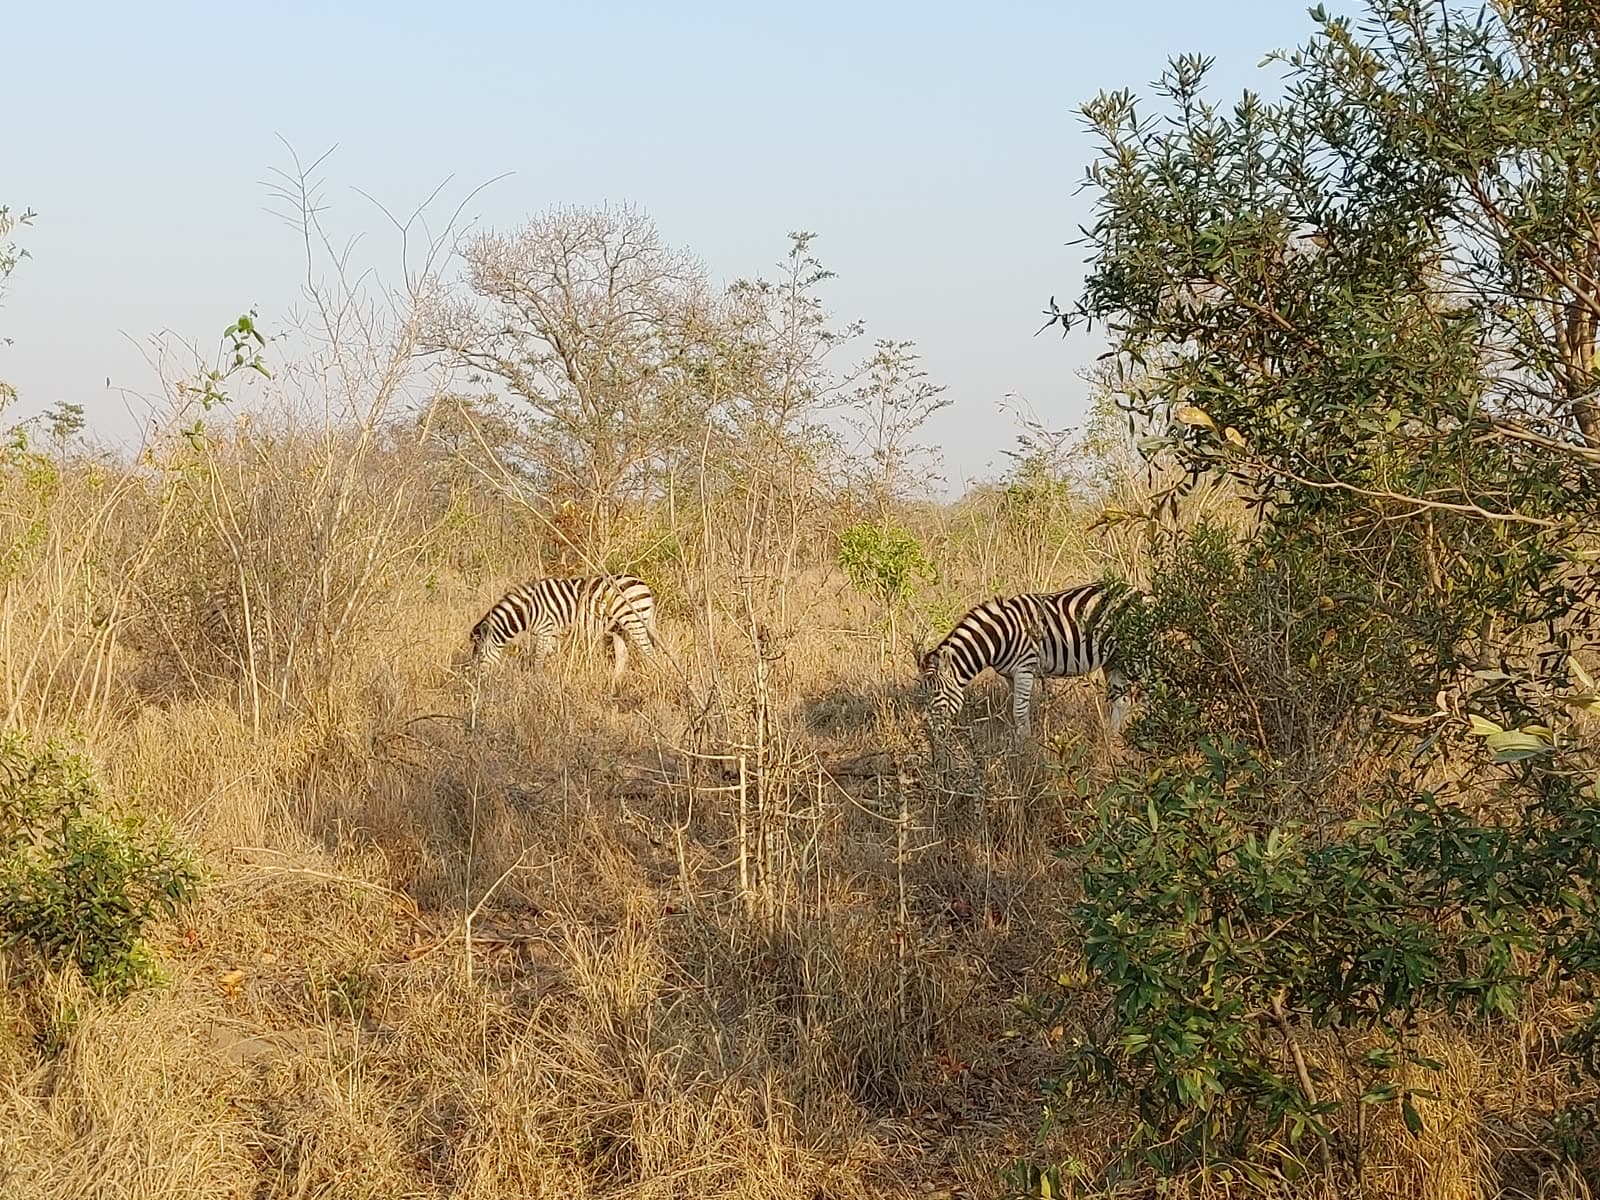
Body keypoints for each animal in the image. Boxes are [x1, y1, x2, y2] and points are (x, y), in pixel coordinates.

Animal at [466, 574, 660, 680]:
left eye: (480, 657)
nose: (475, 681)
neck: (528, 610)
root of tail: (644, 584)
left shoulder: (545, 629)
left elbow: (538, 659)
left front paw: (536, 683)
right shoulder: (552, 633)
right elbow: (550, 657)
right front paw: (552, 680)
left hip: (634, 621)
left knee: (649, 652)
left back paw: (654, 676)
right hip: (618, 627)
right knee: (623, 655)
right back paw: (614, 682)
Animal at [919, 581, 1138, 740]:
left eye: (936, 694)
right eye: (925, 695)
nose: (931, 735)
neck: (1000, 637)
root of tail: (1134, 589)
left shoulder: (1024, 667)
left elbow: (1019, 710)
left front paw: (1024, 745)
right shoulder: (1009, 675)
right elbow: (1020, 709)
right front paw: (1022, 742)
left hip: (1128, 655)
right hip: (1113, 660)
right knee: (1121, 700)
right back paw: (1110, 738)